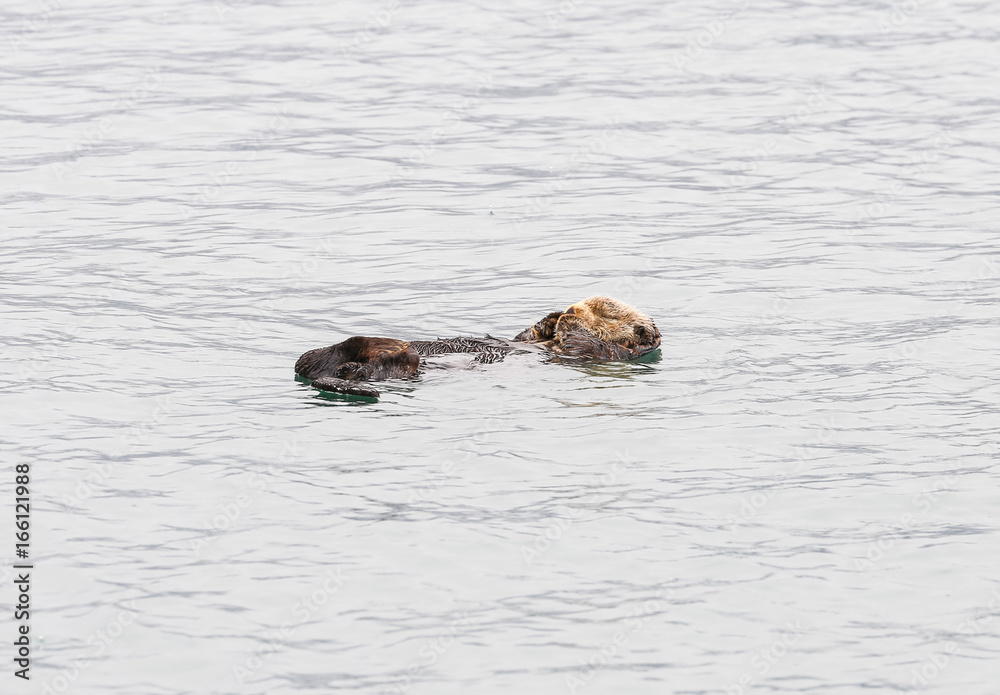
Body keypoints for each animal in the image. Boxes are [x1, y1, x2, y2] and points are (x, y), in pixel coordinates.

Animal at [295, 296, 661, 400]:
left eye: (605, 312)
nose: (571, 309)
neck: (550, 344)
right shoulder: (531, 339)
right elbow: (526, 334)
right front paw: (552, 317)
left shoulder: (606, 354)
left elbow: (591, 345)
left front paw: (571, 328)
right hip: (320, 359)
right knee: (308, 361)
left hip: (393, 369)